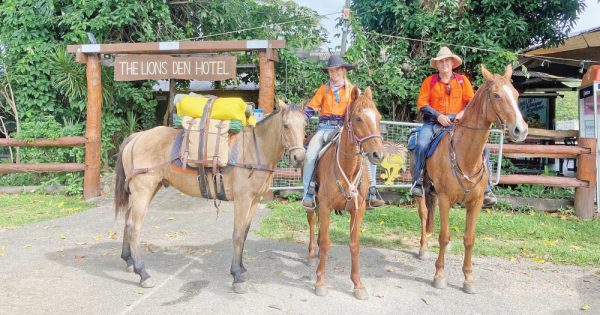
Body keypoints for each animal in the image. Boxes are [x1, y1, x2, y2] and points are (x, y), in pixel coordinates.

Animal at [115, 100, 308, 294]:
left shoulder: (254, 201)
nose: (299, 158)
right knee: (134, 227)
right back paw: (143, 273)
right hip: (143, 191)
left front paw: (242, 268)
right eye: (286, 125)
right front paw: (237, 276)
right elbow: (238, 235)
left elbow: (245, 233)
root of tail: (137, 137)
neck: (255, 150)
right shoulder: (243, 200)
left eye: (305, 125)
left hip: (147, 190)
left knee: (127, 222)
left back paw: (129, 261)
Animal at [304, 87, 384, 302]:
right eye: (358, 118)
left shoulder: (358, 210)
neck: (347, 169)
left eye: (379, 117)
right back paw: (311, 254)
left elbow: (354, 245)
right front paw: (320, 282)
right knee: (312, 222)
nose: (378, 154)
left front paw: (358, 284)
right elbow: (325, 243)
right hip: (311, 202)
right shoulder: (324, 206)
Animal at [414, 65, 528, 296]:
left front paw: (468, 279)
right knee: (423, 213)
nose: (520, 130)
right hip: (423, 188)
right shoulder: (446, 198)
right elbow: (444, 235)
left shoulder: (475, 203)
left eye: (516, 94)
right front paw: (439, 276)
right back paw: (423, 248)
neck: (465, 155)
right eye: (496, 95)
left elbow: (469, 239)